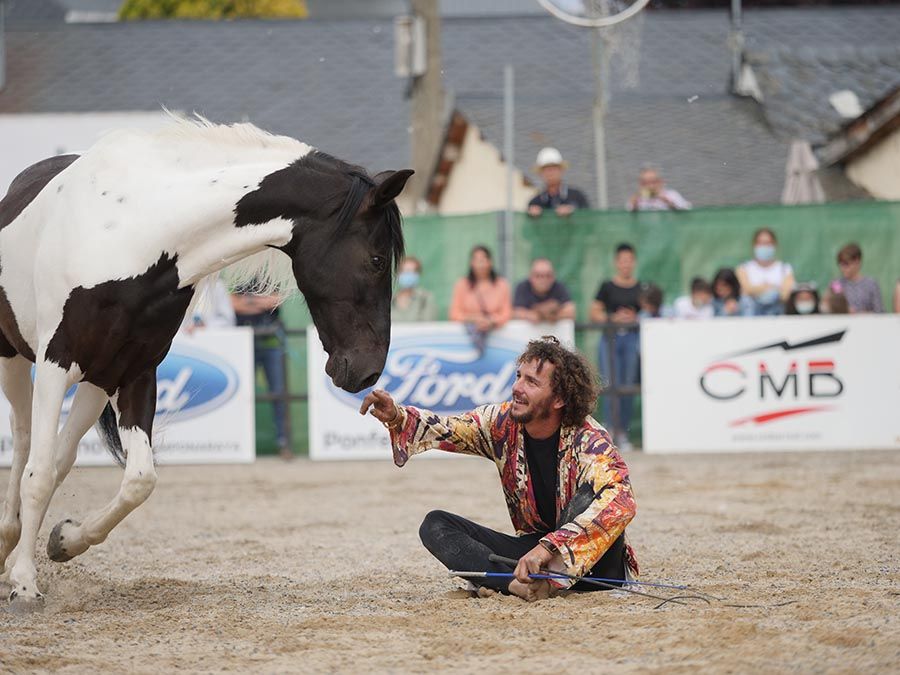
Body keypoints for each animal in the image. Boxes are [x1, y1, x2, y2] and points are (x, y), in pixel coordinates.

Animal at [0, 115, 412, 609]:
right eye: (376, 259)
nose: (368, 370)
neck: (139, 227)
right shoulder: (56, 362)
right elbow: (38, 473)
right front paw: (25, 583)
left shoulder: (135, 371)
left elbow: (138, 480)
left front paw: (65, 540)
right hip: (15, 357)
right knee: (26, 441)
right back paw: (9, 546)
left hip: (97, 382)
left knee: (61, 455)